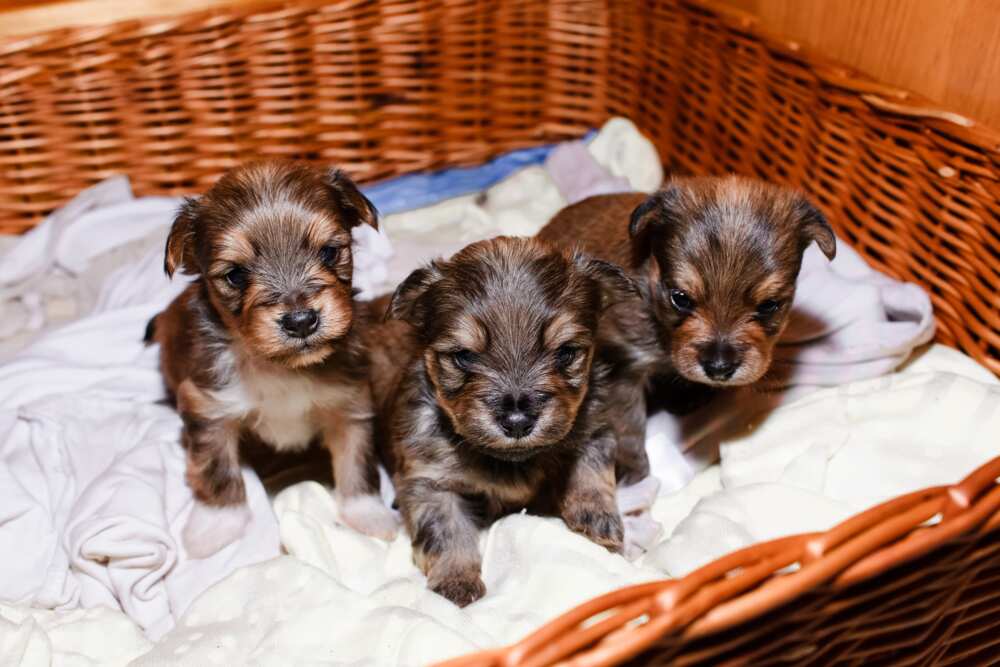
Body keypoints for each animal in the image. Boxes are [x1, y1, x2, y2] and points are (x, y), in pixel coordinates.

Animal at [148, 162, 398, 560]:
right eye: (236, 275)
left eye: (329, 253)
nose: (301, 321)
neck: (280, 365)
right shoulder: (209, 408)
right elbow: (217, 468)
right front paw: (215, 526)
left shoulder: (350, 403)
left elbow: (357, 462)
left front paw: (367, 514)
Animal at [372, 237, 636, 608]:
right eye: (464, 356)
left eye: (565, 352)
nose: (517, 421)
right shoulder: (429, 480)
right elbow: (447, 530)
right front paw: (455, 581)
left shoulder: (595, 428)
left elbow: (591, 471)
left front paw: (596, 518)